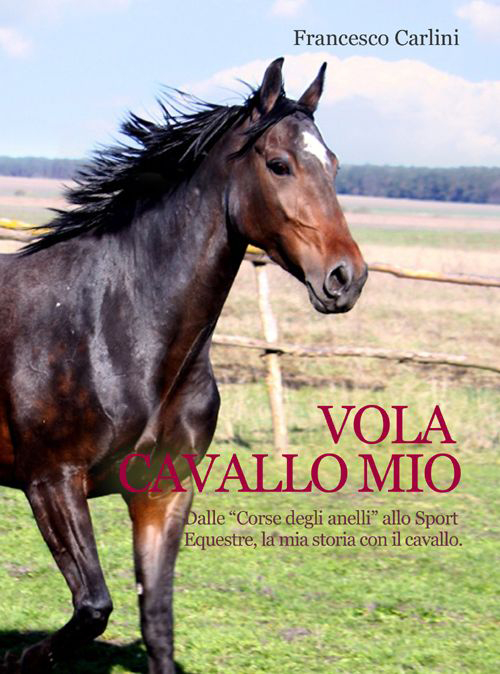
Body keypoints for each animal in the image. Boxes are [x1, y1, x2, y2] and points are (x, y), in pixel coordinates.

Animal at [0, 57, 367, 673]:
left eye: (334, 164)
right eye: (279, 164)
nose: (346, 278)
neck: (116, 327)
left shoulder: (161, 492)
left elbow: (157, 620)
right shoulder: (51, 482)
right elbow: (93, 607)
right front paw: (19, 658)